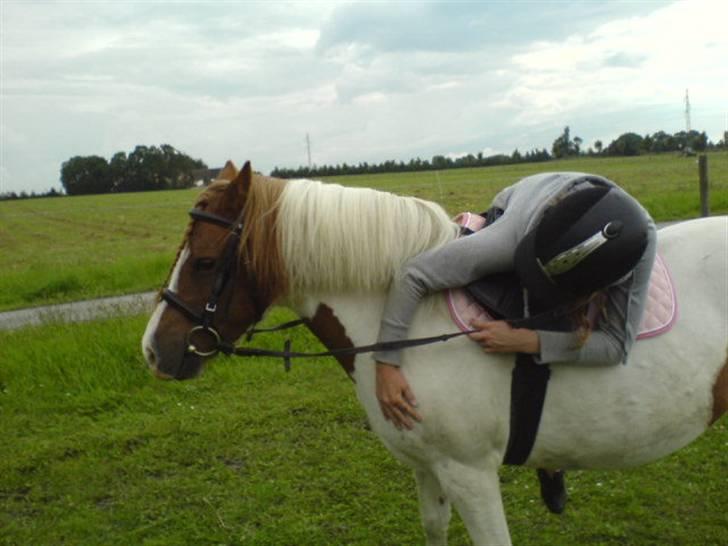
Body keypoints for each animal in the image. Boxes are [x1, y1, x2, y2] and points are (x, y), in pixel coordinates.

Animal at [142, 161, 728, 546]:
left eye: (204, 261)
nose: (154, 351)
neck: (404, 328)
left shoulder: (470, 473)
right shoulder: (429, 467)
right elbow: (433, 527)